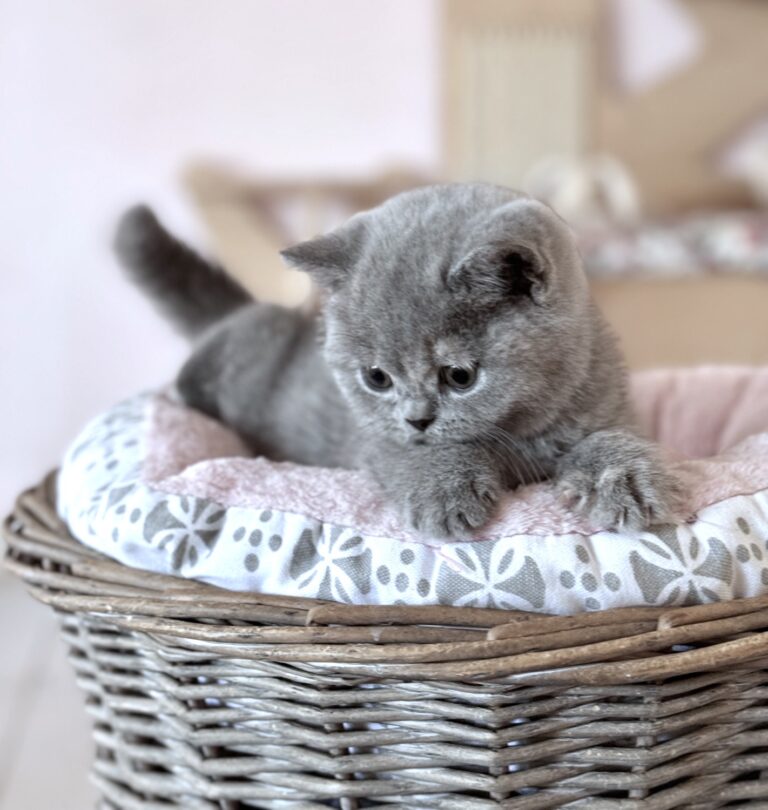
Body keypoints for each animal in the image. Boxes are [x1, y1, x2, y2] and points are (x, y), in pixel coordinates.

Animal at [112, 183, 680, 536]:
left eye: (459, 376)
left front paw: (625, 482)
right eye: (376, 378)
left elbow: (612, 439)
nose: (417, 418)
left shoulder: (607, 404)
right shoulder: (375, 440)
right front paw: (444, 492)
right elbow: (411, 453)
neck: (523, 433)